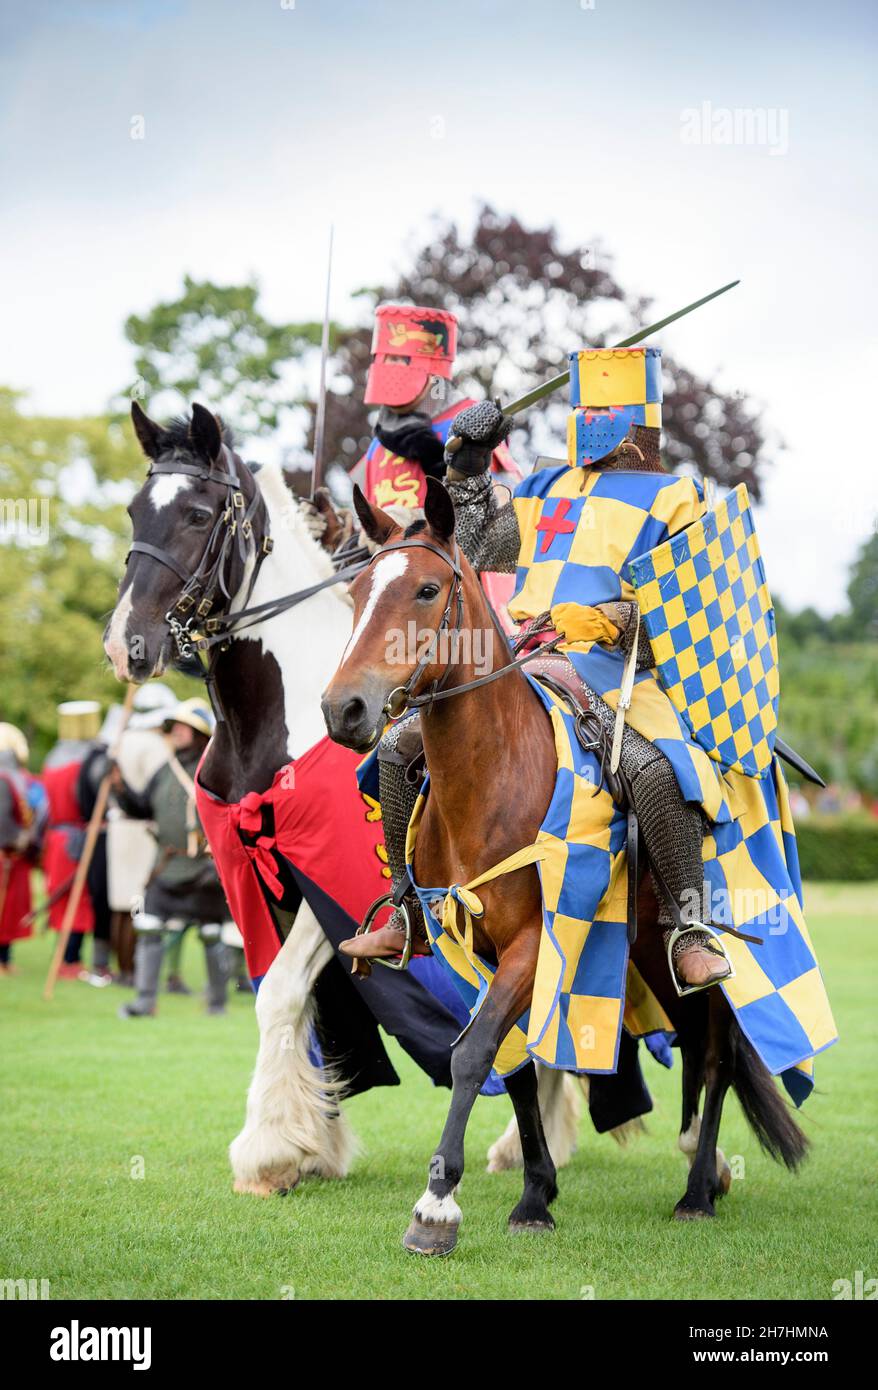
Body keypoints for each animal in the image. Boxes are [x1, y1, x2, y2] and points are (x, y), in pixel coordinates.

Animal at [322, 478, 811, 1262]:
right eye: (360, 589)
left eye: (427, 589)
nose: (344, 708)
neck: (492, 781)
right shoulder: (475, 948)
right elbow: (515, 1063)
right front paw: (534, 1196)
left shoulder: (537, 940)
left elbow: (473, 1054)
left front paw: (436, 1205)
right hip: (647, 949)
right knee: (694, 1043)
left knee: (717, 1055)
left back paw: (698, 1191)